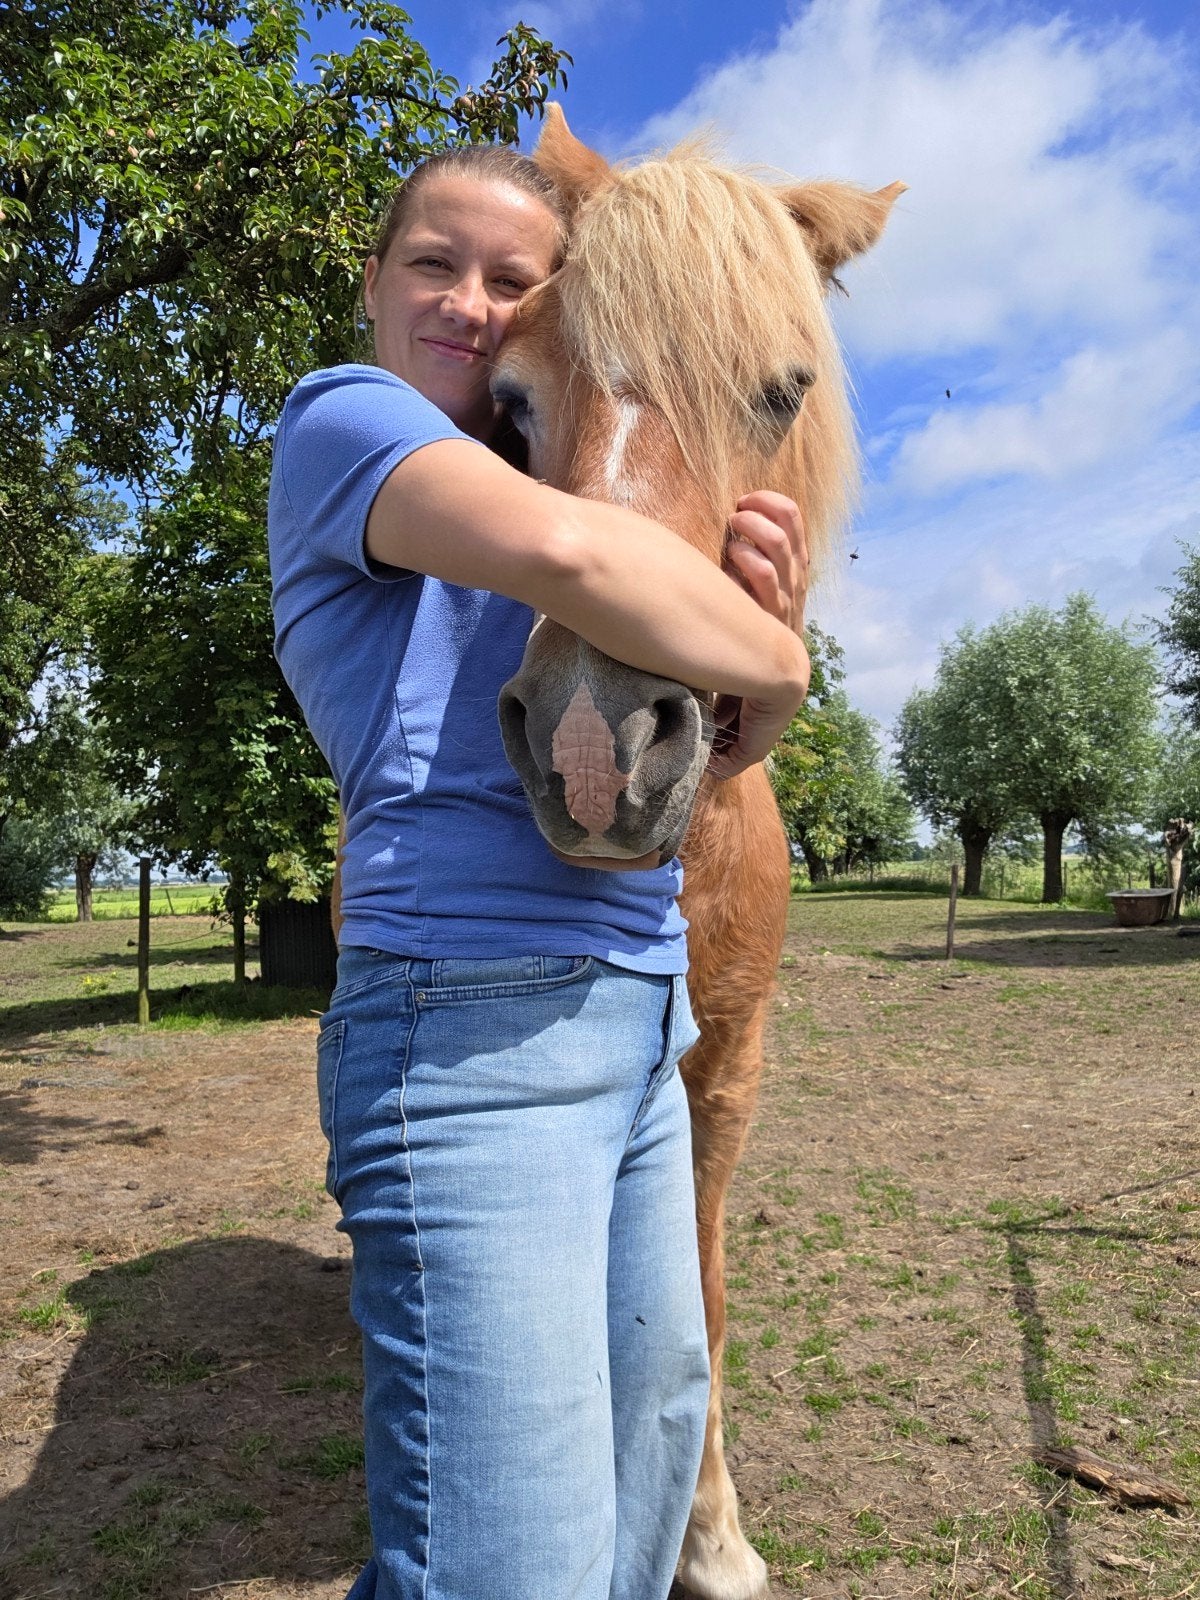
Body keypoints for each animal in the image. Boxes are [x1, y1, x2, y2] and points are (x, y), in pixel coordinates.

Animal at [491, 108, 903, 1600]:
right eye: (512, 409)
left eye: (784, 391)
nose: (591, 740)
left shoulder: (726, 1073)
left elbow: (701, 1293)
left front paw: (709, 1535)